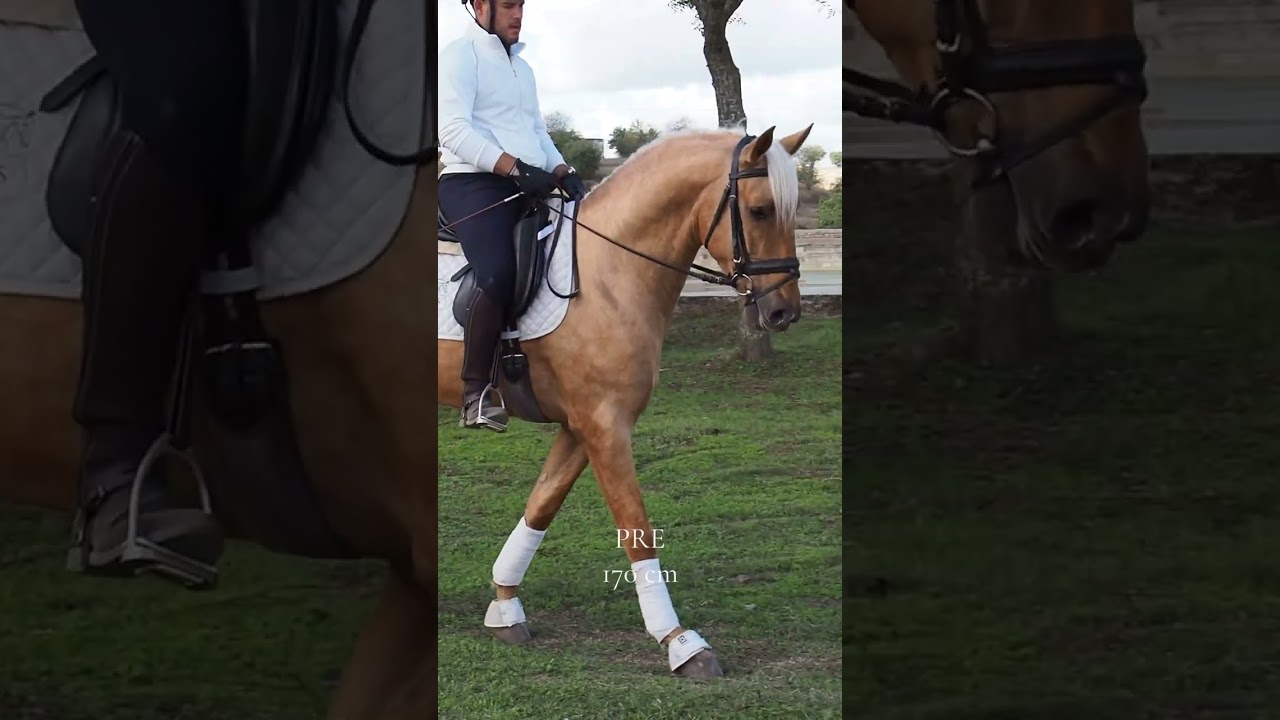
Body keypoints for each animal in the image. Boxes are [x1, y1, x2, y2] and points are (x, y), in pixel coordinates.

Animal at [437, 125, 813, 678]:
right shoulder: (605, 425)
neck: (607, 275)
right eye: (761, 210)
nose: (784, 312)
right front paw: (681, 642)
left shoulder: (580, 427)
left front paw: (505, 607)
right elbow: (637, 528)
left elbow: (542, 505)